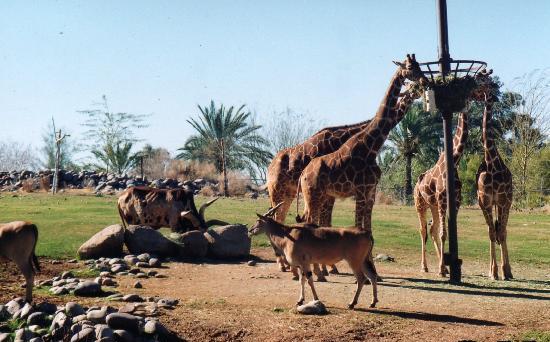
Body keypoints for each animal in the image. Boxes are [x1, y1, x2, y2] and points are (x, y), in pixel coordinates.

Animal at [250, 204, 380, 312]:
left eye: (258, 220)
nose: (250, 230)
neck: (287, 235)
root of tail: (367, 233)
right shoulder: (301, 266)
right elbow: (301, 280)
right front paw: (300, 300)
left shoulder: (305, 264)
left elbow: (309, 280)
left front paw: (316, 299)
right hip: (364, 261)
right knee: (372, 276)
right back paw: (373, 303)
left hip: (354, 261)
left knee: (361, 278)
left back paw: (352, 303)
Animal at [298, 54, 432, 232]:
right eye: (410, 67)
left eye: (419, 65)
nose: (425, 81)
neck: (372, 146)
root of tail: (303, 174)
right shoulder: (361, 191)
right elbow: (357, 225)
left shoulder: (371, 191)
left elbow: (368, 228)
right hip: (314, 195)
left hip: (318, 196)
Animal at [414, 111, 470, 276]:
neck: (455, 160)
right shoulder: (442, 199)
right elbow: (443, 234)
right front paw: (440, 269)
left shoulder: (456, 201)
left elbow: (449, 233)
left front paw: (445, 267)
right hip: (420, 204)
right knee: (423, 230)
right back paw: (424, 267)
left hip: (433, 206)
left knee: (432, 229)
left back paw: (443, 267)